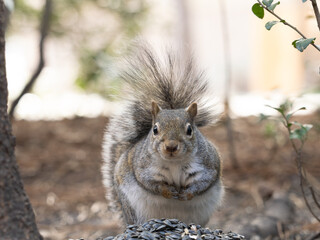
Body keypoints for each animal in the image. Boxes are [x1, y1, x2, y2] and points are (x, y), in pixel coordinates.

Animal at [101, 45, 224, 227]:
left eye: (189, 130)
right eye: (155, 130)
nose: (171, 146)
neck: (174, 163)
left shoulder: (208, 165)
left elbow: (203, 182)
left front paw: (187, 194)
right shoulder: (143, 167)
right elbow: (151, 184)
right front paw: (168, 191)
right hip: (133, 209)